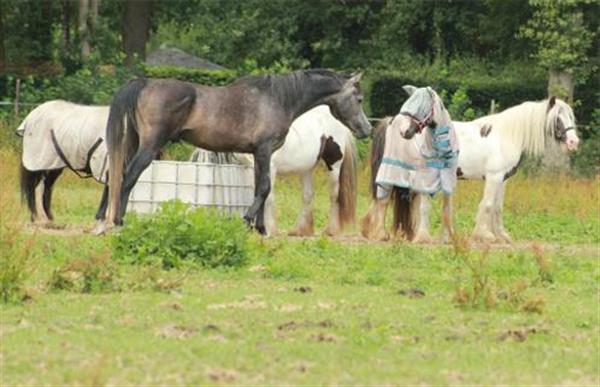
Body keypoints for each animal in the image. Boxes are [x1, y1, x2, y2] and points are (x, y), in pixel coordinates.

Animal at [190, 107, 356, 239]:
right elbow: (259, 194)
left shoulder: (270, 167)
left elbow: (267, 196)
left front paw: (267, 229)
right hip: (306, 168)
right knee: (307, 196)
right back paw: (300, 230)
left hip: (334, 164)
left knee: (334, 195)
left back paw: (331, 230)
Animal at [400, 86, 580, 244]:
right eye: (557, 118)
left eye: (571, 117)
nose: (574, 142)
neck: (507, 135)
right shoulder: (494, 176)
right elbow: (487, 205)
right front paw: (485, 235)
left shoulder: (503, 179)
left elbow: (497, 207)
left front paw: (502, 236)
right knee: (424, 205)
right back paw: (423, 237)